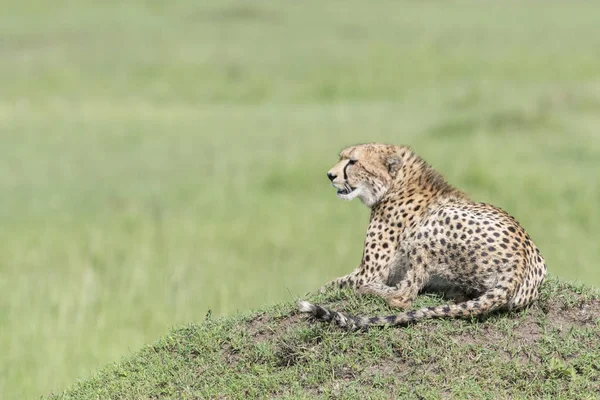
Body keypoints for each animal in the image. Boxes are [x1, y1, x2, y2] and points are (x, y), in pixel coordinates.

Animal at [298, 142, 548, 330]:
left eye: (353, 161)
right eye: (342, 158)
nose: (330, 175)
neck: (397, 182)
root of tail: (520, 261)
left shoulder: (369, 271)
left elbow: (330, 285)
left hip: (434, 223)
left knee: (404, 296)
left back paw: (371, 290)